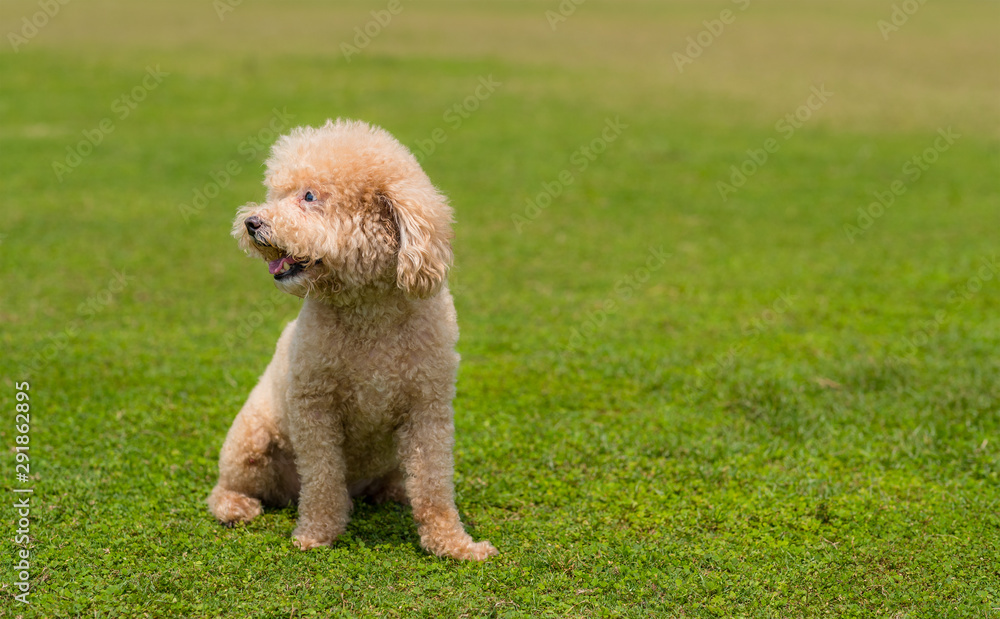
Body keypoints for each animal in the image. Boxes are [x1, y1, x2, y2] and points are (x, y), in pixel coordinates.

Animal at [206, 120, 496, 560]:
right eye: (277, 193)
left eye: (309, 197)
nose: (252, 223)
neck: (368, 308)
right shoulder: (315, 406)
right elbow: (323, 480)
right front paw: (316, 534)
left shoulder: (428, 409)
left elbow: (433, 485)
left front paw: (454, 544)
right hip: (250, 440)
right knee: (229, 486)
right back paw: (236, 506)